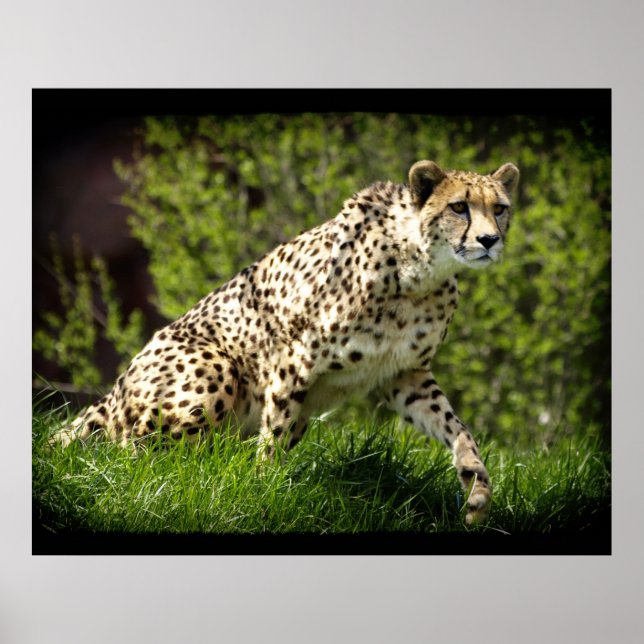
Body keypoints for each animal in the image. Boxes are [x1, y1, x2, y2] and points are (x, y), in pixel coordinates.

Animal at [53, 159, 520, 524]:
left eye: (499, 209)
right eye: (459, 207)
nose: (489, 240)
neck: (419, 272)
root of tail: (116, 387)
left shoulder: (404, 374)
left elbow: (455, 427)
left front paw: (477, 487)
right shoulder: (293, 361)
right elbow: (272, 441)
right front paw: (263, 493)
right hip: (215, 372)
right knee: (134, 456)